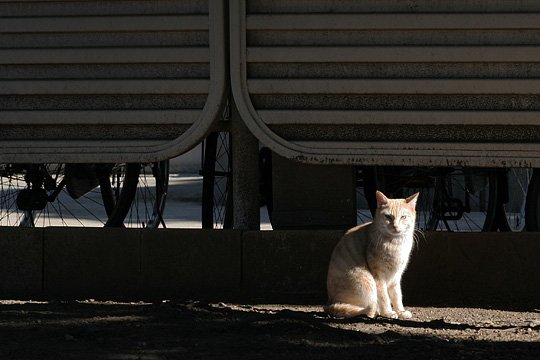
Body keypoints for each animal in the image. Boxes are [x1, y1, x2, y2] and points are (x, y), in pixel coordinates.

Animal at [322, 190, 420, 320]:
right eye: (388, 217)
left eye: (403, 217)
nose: (395, 226)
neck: (395, 243)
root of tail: (329, 303)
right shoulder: (379, 276)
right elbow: (384, 297)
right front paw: (388, 312)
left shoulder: (396, 276)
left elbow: (397, 296)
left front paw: (401, 311)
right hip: (367, 281)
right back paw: (375, 311)